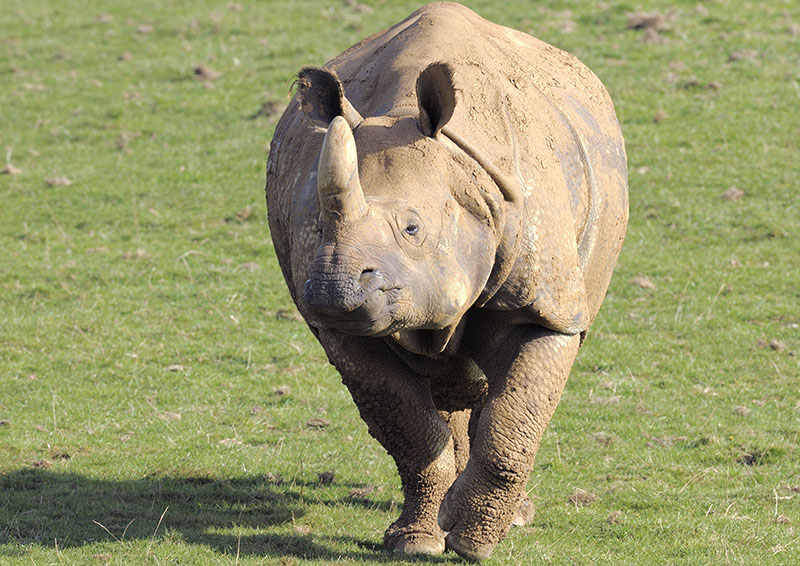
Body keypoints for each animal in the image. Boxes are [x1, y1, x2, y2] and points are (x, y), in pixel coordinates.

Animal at [265, 2, 627, 561]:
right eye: (318, 224)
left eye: (413, 228)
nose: (332, 290)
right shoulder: (345, 330)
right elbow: (409, 429)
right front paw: (415, 543)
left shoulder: (547, 308)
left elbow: (514, 417)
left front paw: (472, 543)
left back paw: (512, 517)